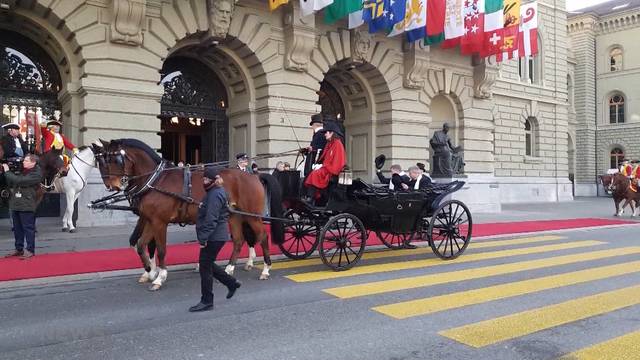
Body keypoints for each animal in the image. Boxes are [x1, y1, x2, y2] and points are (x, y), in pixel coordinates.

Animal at [92, 139, 284, 292]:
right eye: (99, 162)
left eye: (114, 159)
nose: (111, 186)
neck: (155, 180)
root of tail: (254, 176)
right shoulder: (150, 219)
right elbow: (140, 244)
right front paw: (149, 270)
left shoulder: (159, 222)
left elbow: (160, 249)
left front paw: (159, 276)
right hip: (234, 216)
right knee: (238, 240)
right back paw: (229, 268)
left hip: (252, 215)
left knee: (262, 236)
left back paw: (265, 269)